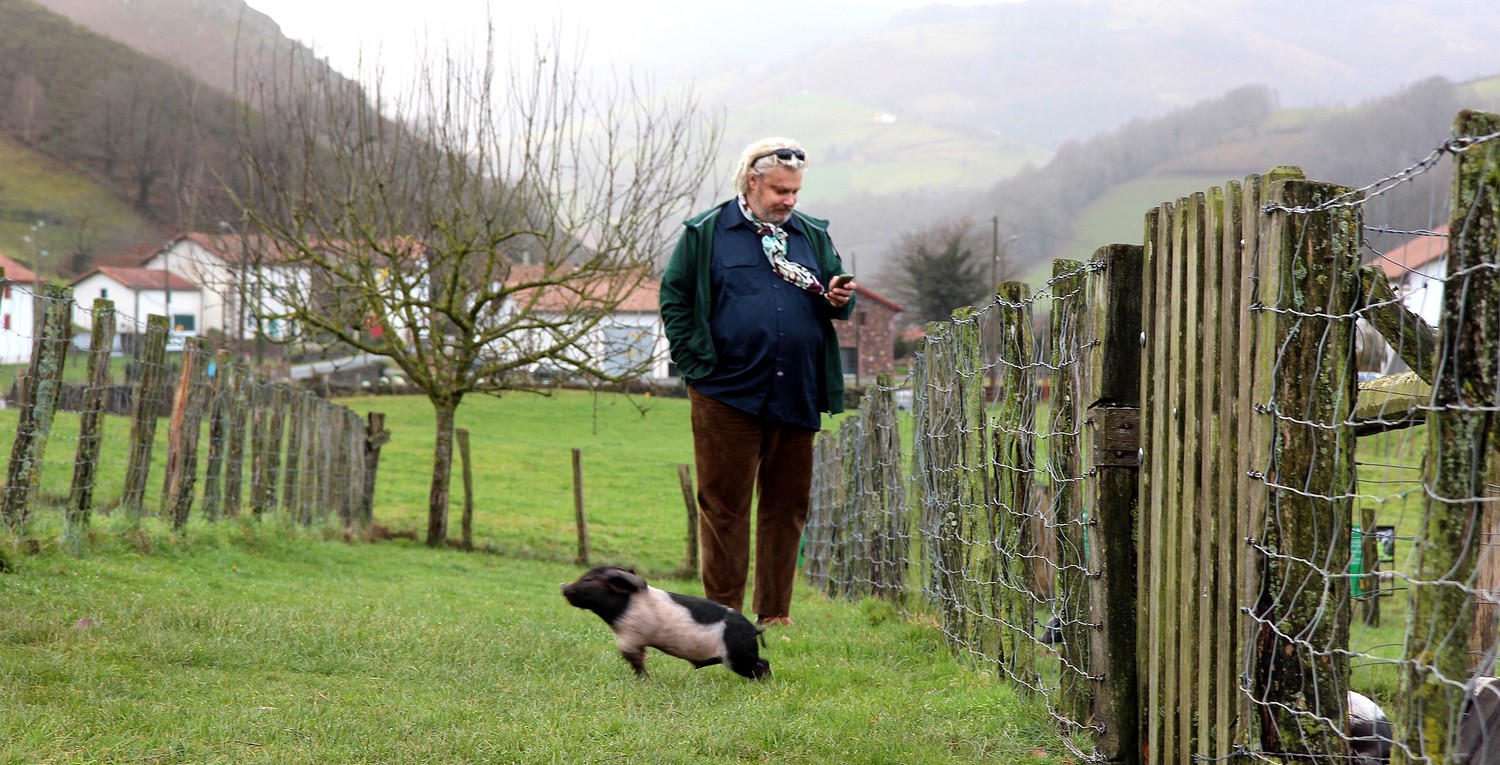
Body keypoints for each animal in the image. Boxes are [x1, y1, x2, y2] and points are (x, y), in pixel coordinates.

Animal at [564, 561, 774, 681]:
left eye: (588, 580)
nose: (563, 586)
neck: (627, 605)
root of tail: (754, 629)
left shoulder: (631, 637)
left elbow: (633, 658)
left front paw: (644, 680)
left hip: (736, 658)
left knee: (758, 666)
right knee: (764, 661)